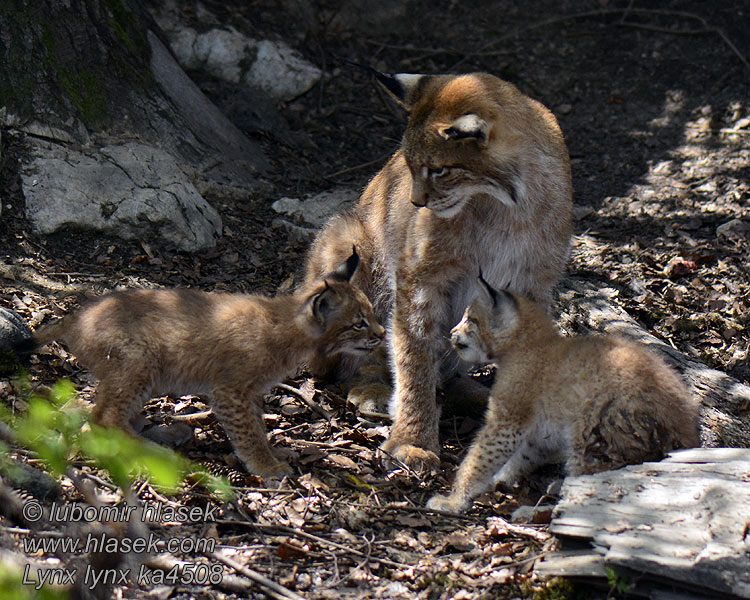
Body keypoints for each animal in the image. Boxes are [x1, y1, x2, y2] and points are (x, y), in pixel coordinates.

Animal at [31, 248, 384, 474]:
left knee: (81, 408)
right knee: (103, 417)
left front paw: (272, 452)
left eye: (370, 316)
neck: (290, 325)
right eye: (359, 323)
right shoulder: (229, 390)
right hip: (140, 361)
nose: (381, 334)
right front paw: (266, 466)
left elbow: (258, 426)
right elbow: (248, 432)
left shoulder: (250, 391)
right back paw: (156, 451)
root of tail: (77, 315)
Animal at [428, 276, 704, 510]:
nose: (451, 333)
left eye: (469, 319)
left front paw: (454, 500)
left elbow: (478, 458)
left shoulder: (507, 419)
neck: (526, 342)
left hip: (596, 426)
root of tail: (688, 435)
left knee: (595, 482)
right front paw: (501, 477)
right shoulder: (540, 431)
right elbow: (525, 454)